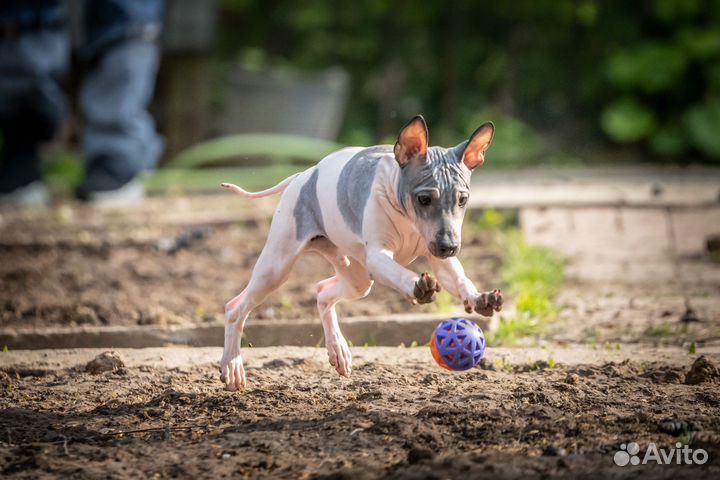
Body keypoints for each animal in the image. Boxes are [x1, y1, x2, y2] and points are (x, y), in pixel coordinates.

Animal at [222, 116, 504, 390]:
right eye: (424, 199)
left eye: (462, 200)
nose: (449, 246)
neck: (408, 219)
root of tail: (302, 175)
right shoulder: (377, 257)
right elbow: (399, 272)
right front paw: (418, 285)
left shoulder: (438, 257)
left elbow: (458, 278)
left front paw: (479, 298)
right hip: (278, 266)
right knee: (235, 308)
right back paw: (232, 367)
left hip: (354, 274)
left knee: (323, 291)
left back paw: (338, 350)